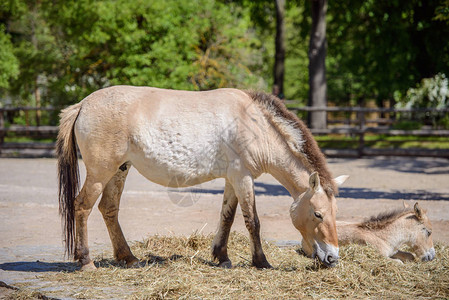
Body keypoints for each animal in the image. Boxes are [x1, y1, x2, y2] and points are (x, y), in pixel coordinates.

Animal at [57, 86, 346, 270]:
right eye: (318, 214)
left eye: (335, 212)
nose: (333, 258)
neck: (254, 124)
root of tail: (83, 105)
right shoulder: (243, 177)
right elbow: (252, 221)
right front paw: (261, 262)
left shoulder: (233, 179)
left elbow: (227, 217)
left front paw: (221, 257)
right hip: (100, 173)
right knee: (82, 207)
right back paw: (86, 261)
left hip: (119, 170)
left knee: (109, 209)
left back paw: (128, 258)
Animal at [300, 202, 434, 262]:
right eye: (429, 232)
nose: (431, 257)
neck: (383, 237)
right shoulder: (382, 256)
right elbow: (399, 262)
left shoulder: (393, 251)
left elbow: (409, 255)